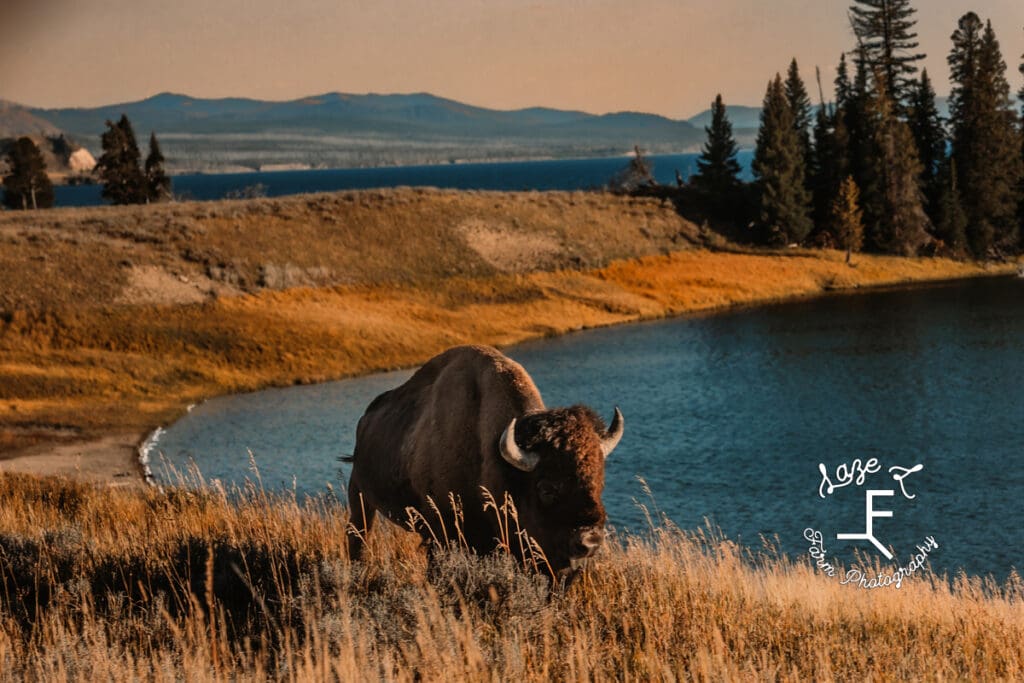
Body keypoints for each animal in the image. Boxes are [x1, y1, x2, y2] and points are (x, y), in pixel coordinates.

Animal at [344, 342, 618, 577]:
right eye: (546, 488)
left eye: (600, 482)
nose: (590, 542)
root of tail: (365, 419)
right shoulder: (440, 532)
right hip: (359, 495)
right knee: (358, 535)